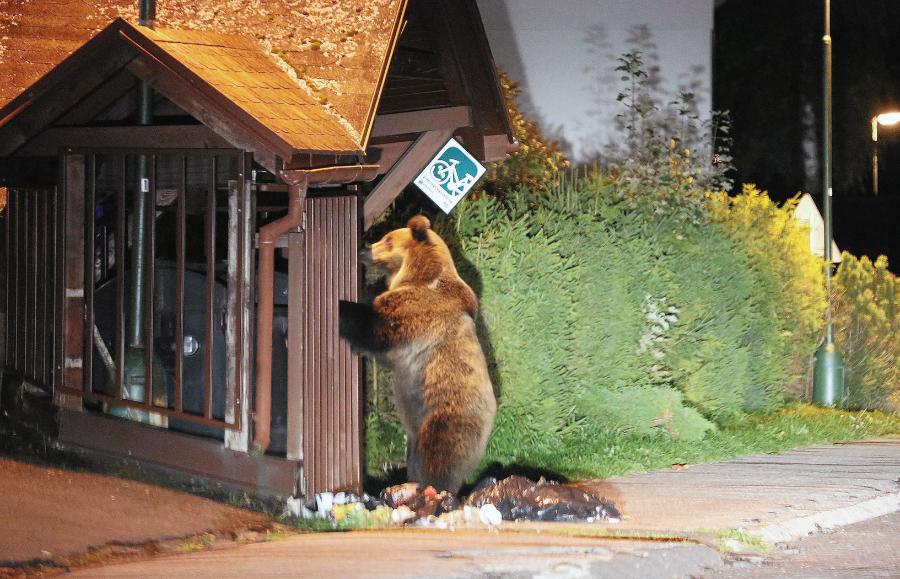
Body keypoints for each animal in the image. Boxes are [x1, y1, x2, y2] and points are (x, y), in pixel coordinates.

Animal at [340, 215, 496, 496]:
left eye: (387, 239)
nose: (363, 249)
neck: (417, 274)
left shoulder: (419, 310)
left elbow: (374, 327)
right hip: (416, 432)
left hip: (445, 417)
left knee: (437, 458)